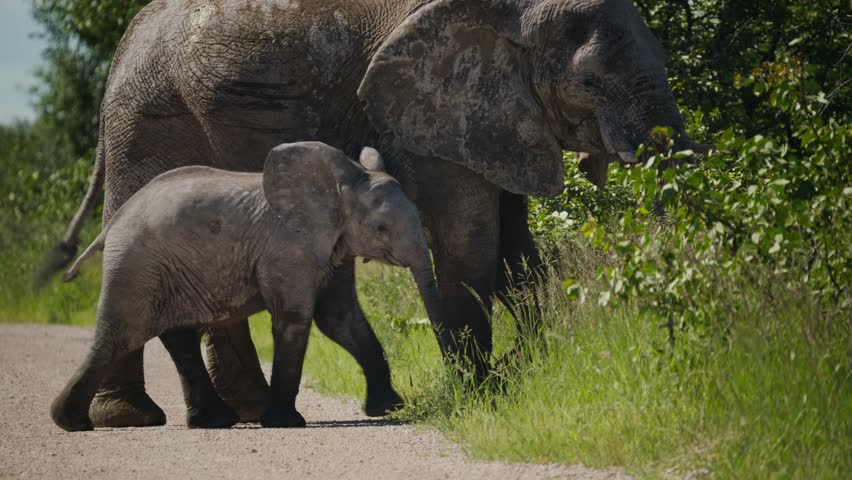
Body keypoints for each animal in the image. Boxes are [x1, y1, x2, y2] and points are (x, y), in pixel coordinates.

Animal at [50, 142, 441, 432]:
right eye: (381, 229)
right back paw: (70, 422)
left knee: (176, 336)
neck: (342, 181)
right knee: (119, 334)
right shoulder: (287, 249)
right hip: (136, 265)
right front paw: (285, 423)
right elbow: (295, 320)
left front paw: (389, 408)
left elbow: (341, 319)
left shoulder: (333, 244)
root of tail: (111, 224)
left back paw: (214, 421)